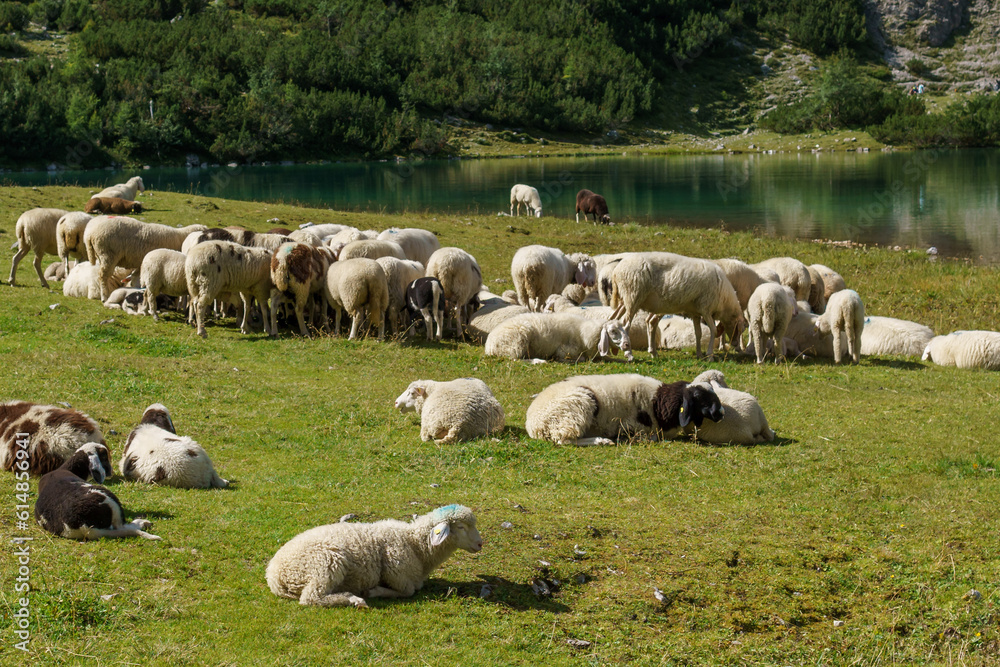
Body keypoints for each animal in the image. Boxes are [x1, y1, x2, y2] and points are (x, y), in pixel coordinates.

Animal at [266, 504, 482, 608]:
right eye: (461, 527)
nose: (480, 544)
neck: (416, 545)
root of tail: (273, 576)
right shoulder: (396, 571)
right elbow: (409, 591)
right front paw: (375, 591)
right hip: (326, 563)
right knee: (311, 598)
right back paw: (354, 599)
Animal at [484, 312, 633, 362]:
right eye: (613, 331)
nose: (627, 345)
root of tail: (489, 346)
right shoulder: (565, 351)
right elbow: (580, 358)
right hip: (516, 343)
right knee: (515, 359)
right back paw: (539, 361)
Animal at [525, 374, 724, 446]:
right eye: (699, 397)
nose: (721, 413)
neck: (658, 402)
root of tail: (534, 425)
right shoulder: (634, 426)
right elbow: (650, 437)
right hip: (577, 409)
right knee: (564, 440)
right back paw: (601, 440)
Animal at [607, 252, 745, 359]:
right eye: (740, 329)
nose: (736, 346)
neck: (725, 301)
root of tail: (616, 271)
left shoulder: (696, 312)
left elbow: (698, 333)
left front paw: (699, 354)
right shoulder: (706, 309)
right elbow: (713, 330)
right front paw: (709, 355)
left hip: (628, 300)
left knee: (614, 320)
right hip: (633, 297)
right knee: (626, 325)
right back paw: (629, 353)